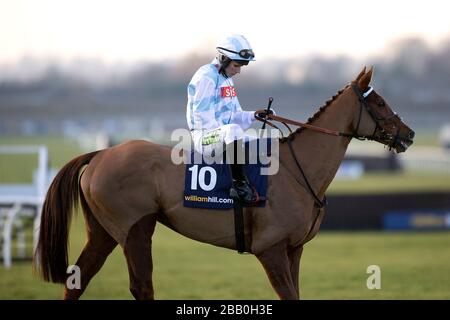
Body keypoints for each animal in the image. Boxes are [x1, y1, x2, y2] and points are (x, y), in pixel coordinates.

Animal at [34, 67, 414, 300]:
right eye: (380, 102)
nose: (408, 135)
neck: (297, 170)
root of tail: (100, 153)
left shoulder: (294, 249)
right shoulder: (271, 249)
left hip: (102, 231)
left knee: (77, 279)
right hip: (134, 230)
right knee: (140, 286)